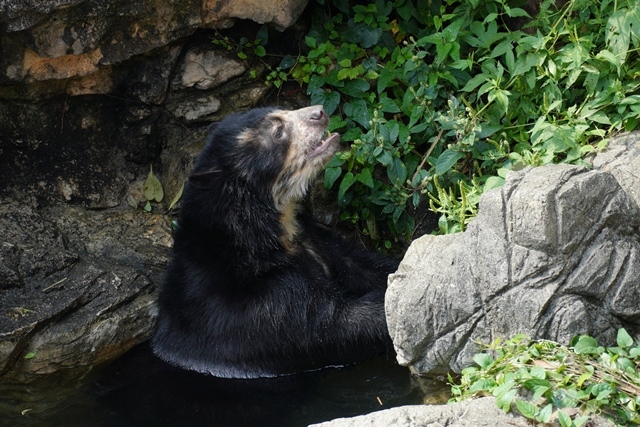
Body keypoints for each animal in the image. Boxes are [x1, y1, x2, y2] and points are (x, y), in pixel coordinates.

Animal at [152, 105, 398, 380]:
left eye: (284, 110)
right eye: (278, 132)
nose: (320, 112)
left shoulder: (313, 239)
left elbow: (363, 266)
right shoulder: (263, 308)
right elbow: (335, 325)